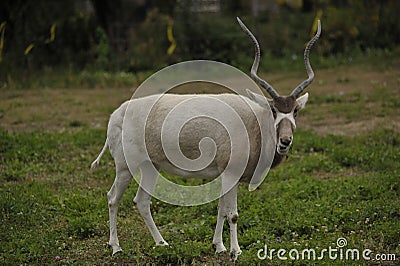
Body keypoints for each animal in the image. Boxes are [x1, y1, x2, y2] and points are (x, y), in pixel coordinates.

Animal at [91, 17, 322, 260]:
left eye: (295, 111)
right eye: (274, 111)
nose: (285, 141)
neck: (253, 121)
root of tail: (116, 114)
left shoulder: (225, 174)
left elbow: (221, 210)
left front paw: (219, 246)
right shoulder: (231, 174)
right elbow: (233, 214)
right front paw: (235, 251)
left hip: (150, 166)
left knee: (142, 201)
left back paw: (162, 243)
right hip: (125, 167)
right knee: (113, 198)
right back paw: (116, 247)